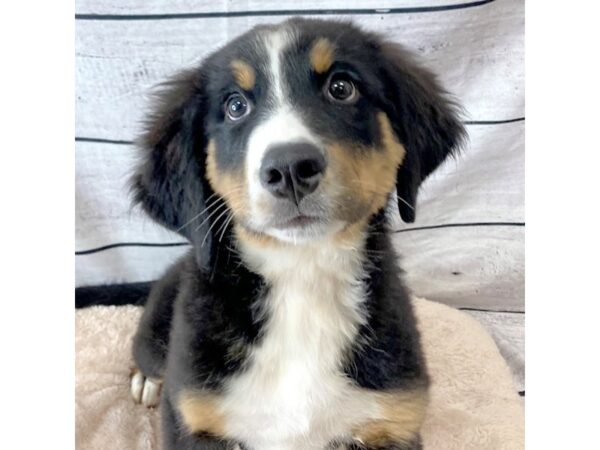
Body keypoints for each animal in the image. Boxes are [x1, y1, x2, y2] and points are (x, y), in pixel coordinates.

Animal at [127, 17, 464, 450]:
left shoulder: (394, 417)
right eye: (235, 107)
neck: (302, 275)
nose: (289, 168)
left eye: (342, 88)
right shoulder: (193, 415)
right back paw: (147, 381)